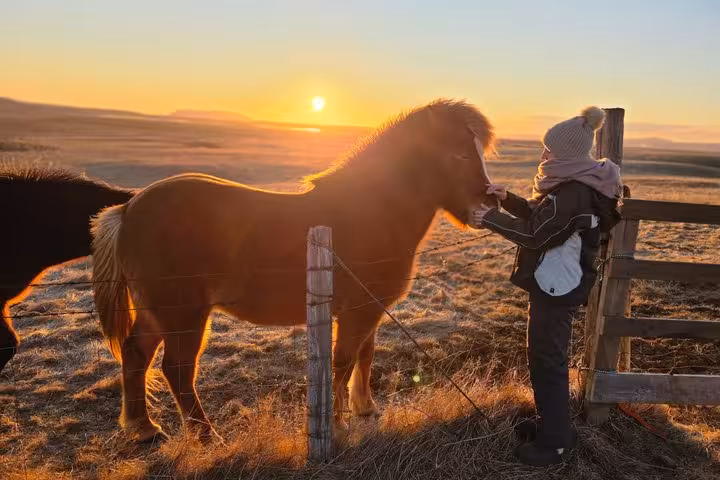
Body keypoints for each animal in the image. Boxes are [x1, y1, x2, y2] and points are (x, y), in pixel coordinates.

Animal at [91, 99, 497, 443]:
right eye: (459, 153)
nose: (487, 205)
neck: (372, 210)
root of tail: (128, 209)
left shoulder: (369, 311)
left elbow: (365, 357)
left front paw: (364, 408)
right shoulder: (358, 312)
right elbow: (343, 361)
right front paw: (336, 424)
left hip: (157, 313)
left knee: (136, 355)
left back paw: (143, 428)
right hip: (183, 315)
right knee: (177, 370)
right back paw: (207, 436)